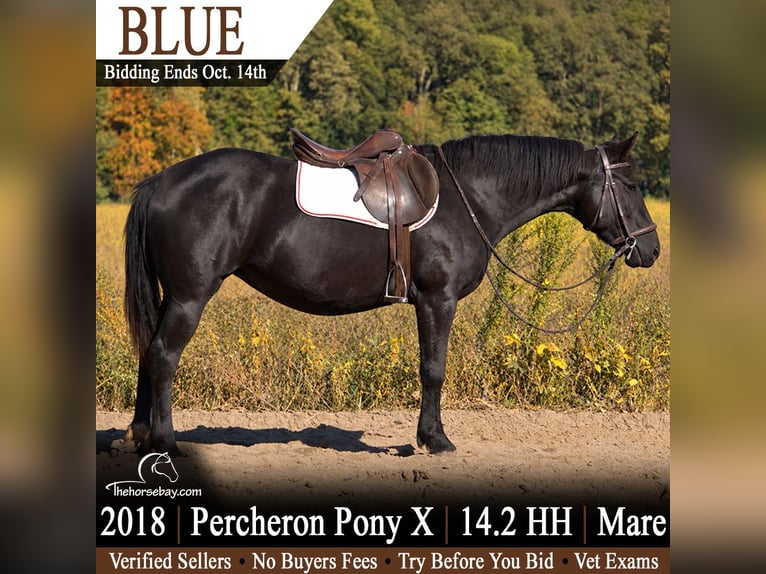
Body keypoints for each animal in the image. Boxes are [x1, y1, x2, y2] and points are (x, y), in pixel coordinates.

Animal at [123, 131, 660, 456]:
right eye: (633, 185)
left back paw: (139, 434)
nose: (650, 248)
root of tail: (160, 180)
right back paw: (165, 442)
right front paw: (435, 439)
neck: (467, 197)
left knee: (149, 353)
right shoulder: (438, 300)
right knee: (165, 356)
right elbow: (433, 370)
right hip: (191, 296)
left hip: (174, 296)